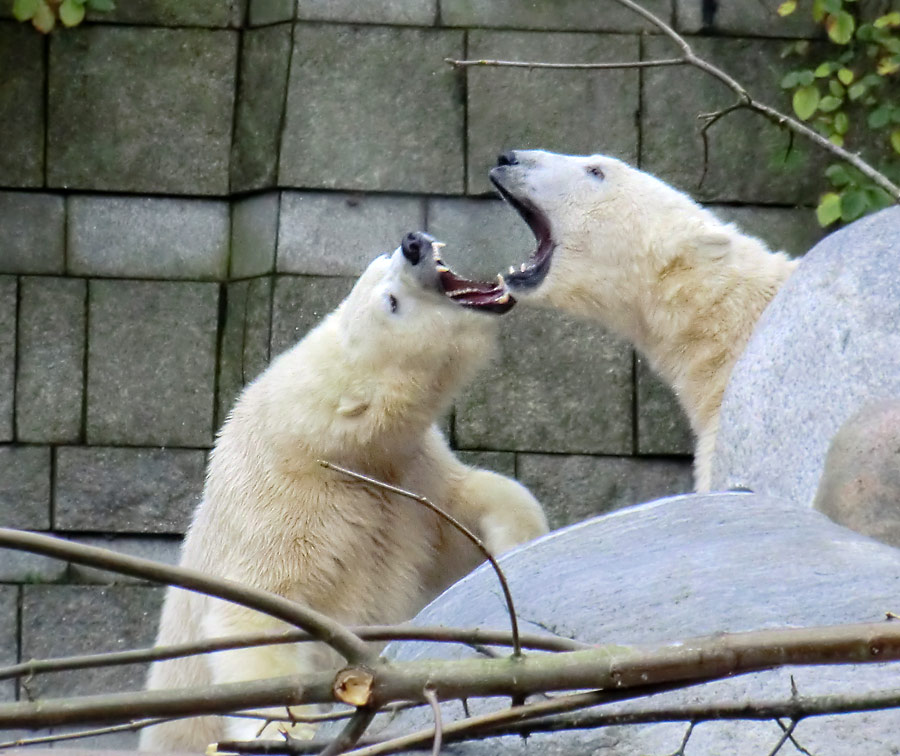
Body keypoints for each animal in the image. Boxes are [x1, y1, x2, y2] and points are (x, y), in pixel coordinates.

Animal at [141, 230, 548, 752]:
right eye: (391, 301)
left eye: (382, 261)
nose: (412, 243)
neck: (330, 444)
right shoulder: (285, 507)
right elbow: (258, 618)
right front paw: (291, 726)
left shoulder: (408, 474)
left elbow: (463, 514)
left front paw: (518, 545)